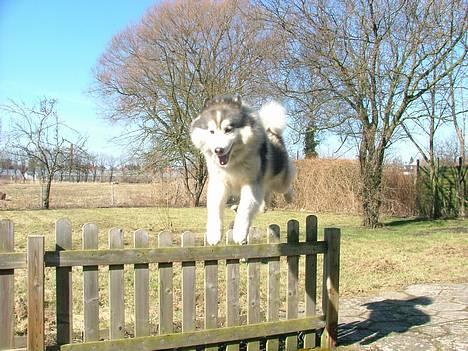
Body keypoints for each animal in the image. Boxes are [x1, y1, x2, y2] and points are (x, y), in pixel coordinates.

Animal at [189, 95, 292, 246]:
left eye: (228, 129)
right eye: (211, 131)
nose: (218, 150)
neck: (233, 162)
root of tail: (271, 131)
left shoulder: (251, 183)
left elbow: (245, 208)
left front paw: (239, 233)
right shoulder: (219, 184)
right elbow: (214, 208)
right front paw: (213, 234)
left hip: (279, 179)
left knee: (285, 185)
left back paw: (289, 196)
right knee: (266, 194)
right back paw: (261, 206)